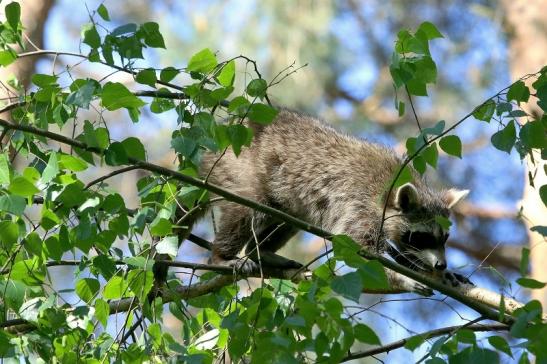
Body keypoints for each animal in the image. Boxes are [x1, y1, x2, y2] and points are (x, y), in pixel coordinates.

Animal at [199, 109, 468, 288]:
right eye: (422, 237)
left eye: (444, 238)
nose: (441, 265)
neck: (389, 192)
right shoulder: (360, 204)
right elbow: (358, 249)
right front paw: (401, 277)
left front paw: (421, 266)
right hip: (242, 168)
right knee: (247, 210)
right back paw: (222, 254)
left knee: (289, 218)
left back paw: (261, 251)